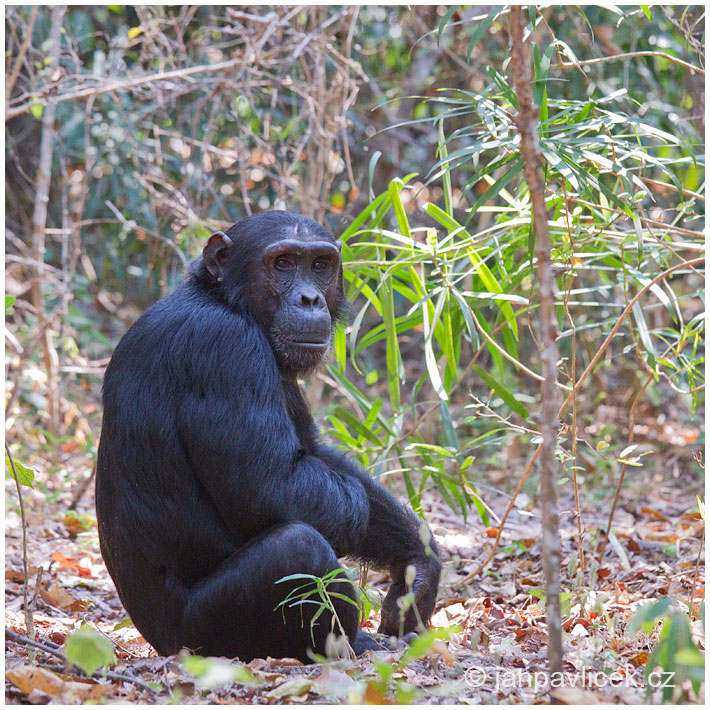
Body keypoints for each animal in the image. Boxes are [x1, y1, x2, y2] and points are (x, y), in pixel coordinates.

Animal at [94, 210, 440, 660]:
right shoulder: (228, 349)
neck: (224, 300)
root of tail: (158, 644)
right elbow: (274, 487)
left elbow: (312, 453)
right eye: (283, 264)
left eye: (319, 265)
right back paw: (353, 643)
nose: (310, 298)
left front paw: (419, 567)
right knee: (298, 546)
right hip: (204, 640)